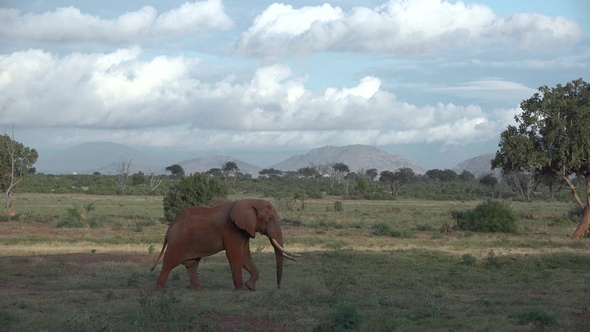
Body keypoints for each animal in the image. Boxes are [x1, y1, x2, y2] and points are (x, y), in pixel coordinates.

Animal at [153, 200, 300, 290]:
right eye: (270, 218)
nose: (278, 287)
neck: (250, 201)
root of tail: (170, 226)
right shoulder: (232, 230)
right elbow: (236, 256)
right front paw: (241, 290)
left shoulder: (243, 229)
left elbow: (245, 256)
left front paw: (250, 287)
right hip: (178, 241)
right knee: (169, 263)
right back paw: (160, 290)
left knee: (192, 265)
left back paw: (199, 291)